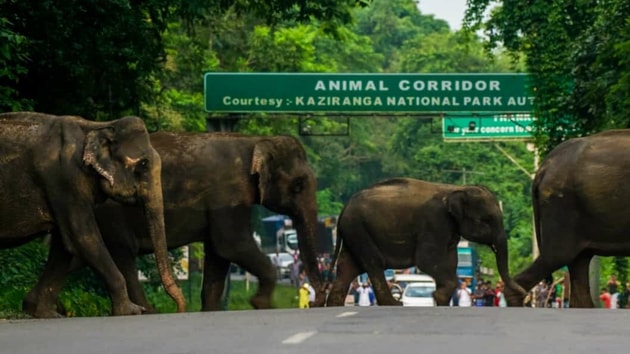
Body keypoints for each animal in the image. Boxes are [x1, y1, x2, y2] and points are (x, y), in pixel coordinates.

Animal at [0, 112, 185, 316]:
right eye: (143, 165)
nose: (179, 309)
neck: (97, 126)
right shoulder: (65, 180)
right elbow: (84, 238)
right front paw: (131, 311)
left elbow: (64, 245)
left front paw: (45, 314)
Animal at [22, 131, 324, 314]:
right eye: (298, 185)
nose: (318, 301)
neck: (256, 141)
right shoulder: (228, 193)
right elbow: (231, 245)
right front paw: (261, 304)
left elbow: (218, 255)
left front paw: (210, 311)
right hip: (109, 215)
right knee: (122, 256)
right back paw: (146, 311)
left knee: (75, 255)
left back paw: (41, 307)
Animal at [326, 178, 528, 306]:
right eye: (486, 220)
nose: (525, 296)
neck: (456, 189)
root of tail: (343, 209)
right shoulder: (434, 222)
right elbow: (427, 261)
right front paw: (437, 296)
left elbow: (450, 262)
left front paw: (440, 299)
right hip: (358, 229)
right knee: (374, 263)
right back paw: (394, 304)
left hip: (355, 232)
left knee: (348, 268)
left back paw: (335, 305)